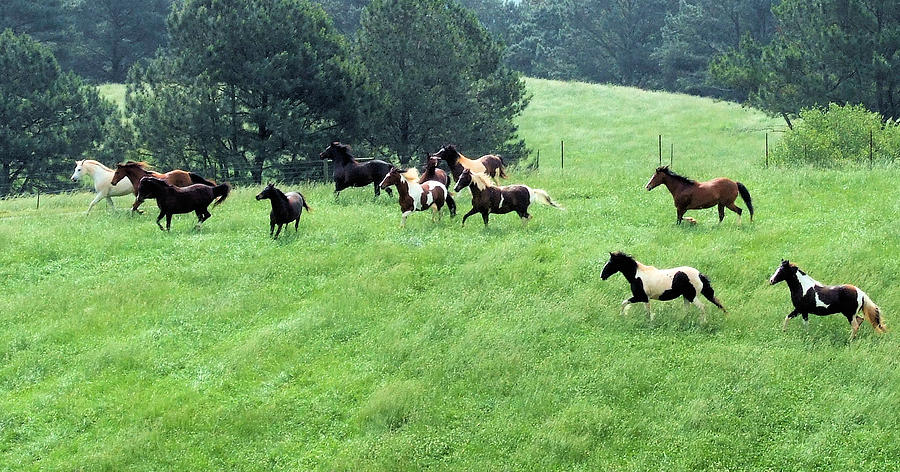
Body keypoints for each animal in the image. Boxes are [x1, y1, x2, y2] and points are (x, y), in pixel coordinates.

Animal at [600, 249, 728, 322]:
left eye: (611, 263)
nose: (602, 275)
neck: (637, 275)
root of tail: (700, 275)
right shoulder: (644, 298)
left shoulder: (641, 297)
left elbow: (627, 304)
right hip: (686, 297)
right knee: (687, 310)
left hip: (691, 296)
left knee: (702, 307)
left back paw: (703, 322)